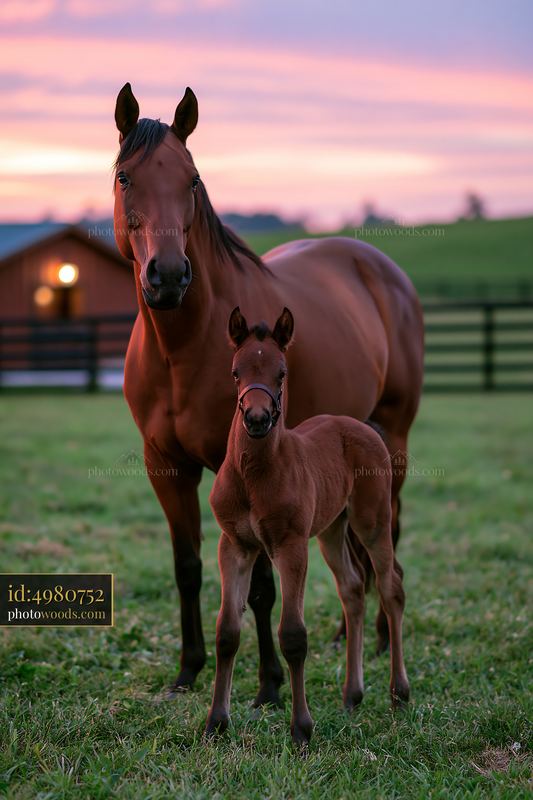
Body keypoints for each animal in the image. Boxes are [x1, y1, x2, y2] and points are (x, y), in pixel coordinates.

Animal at [206, 307, 409, 745]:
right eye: (235, 372)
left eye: (281, 372)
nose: (257, 419)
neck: (254, 476)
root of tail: (362, 425)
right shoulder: (234, 545)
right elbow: (227, 632)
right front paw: (216, 723)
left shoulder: (290, 545)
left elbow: (294, 636)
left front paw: (301, 728)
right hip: (332, 529)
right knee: (352, 588)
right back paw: (352, 695)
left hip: (371, 520)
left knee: (391, 588)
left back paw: (399, 693)